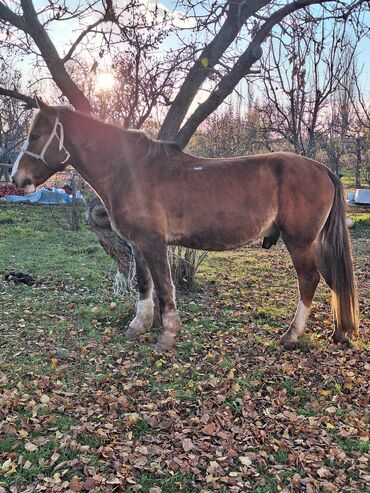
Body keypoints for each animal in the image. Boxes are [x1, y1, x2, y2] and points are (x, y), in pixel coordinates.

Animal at [11, 96, 358, 350]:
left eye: (36, 136)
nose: (16, 179)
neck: (131, 170)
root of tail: (322, 169)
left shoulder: (153, 243)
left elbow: (165, 287)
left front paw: (168, 335)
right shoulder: (138, 244)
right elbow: (144, 284)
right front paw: (139, 326)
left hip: (300, 241)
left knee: (309, 280)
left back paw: (292, 334)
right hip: (315, 243)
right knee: (333, 279)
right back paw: (340, 332)